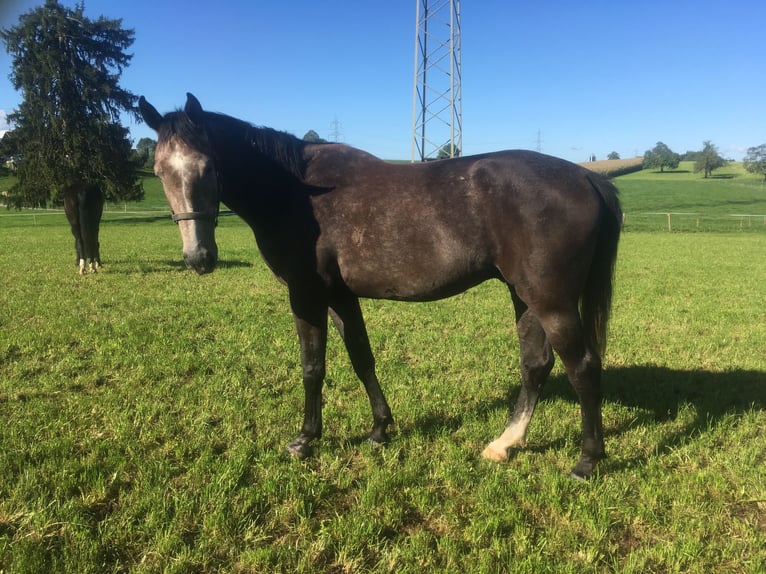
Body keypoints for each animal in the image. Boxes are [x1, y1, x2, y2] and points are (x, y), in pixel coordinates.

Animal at [139, 93, 622, 479]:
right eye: (160, 170)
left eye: (208, 166)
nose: (199, 258)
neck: (297, 191)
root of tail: (588, 177)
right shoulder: (339, 296)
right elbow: (361, 358)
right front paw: (379, 429)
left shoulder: (305, 295)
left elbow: (313, 367)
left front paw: (305, 439)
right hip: (524, 295)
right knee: (537, 364)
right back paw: (504, 444)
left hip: (552, 300)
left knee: (582, 366)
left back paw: (586, 461)